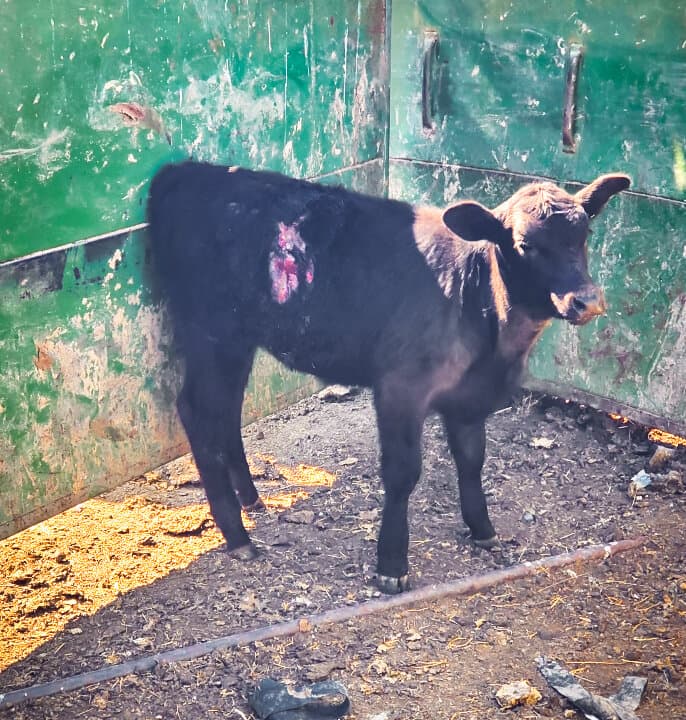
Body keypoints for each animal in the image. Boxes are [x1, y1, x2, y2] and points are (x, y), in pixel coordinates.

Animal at [147, 161, 630, 594]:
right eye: (526, 244)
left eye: (585, 234)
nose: (587, 300)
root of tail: (188, 171)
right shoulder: (401, 388)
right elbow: (402, 472)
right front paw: (392, 564)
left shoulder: (469, 397)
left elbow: (472, 459)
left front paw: (482, 528)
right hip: (212, 332)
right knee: (198, 410)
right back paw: (238, 535)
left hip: (238, 340)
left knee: (226, 411)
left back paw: (250, 498)